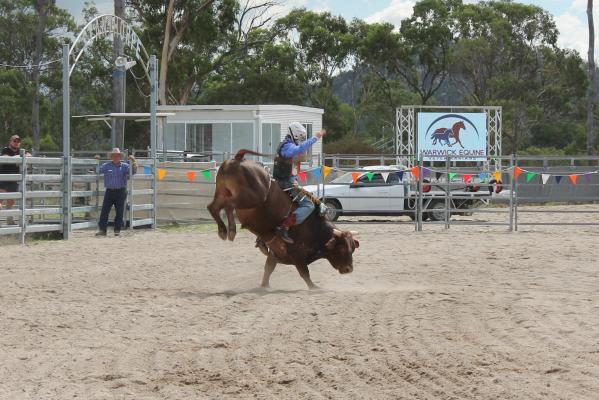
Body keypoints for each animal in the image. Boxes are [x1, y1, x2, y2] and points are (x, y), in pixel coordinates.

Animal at [207, 149, 359, 289]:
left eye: (352, 248)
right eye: (342, 249)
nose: (349, 269)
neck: (316, 228)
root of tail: (239, 159)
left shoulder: (275, 254)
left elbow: (268, 269)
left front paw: (265, 286)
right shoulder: (297, 254)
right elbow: (304, 273)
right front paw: (314, 287)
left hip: (222, 193)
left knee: (213, 207)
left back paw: (223, 230)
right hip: (250, 197)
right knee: (228, 205)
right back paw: (231, 230)